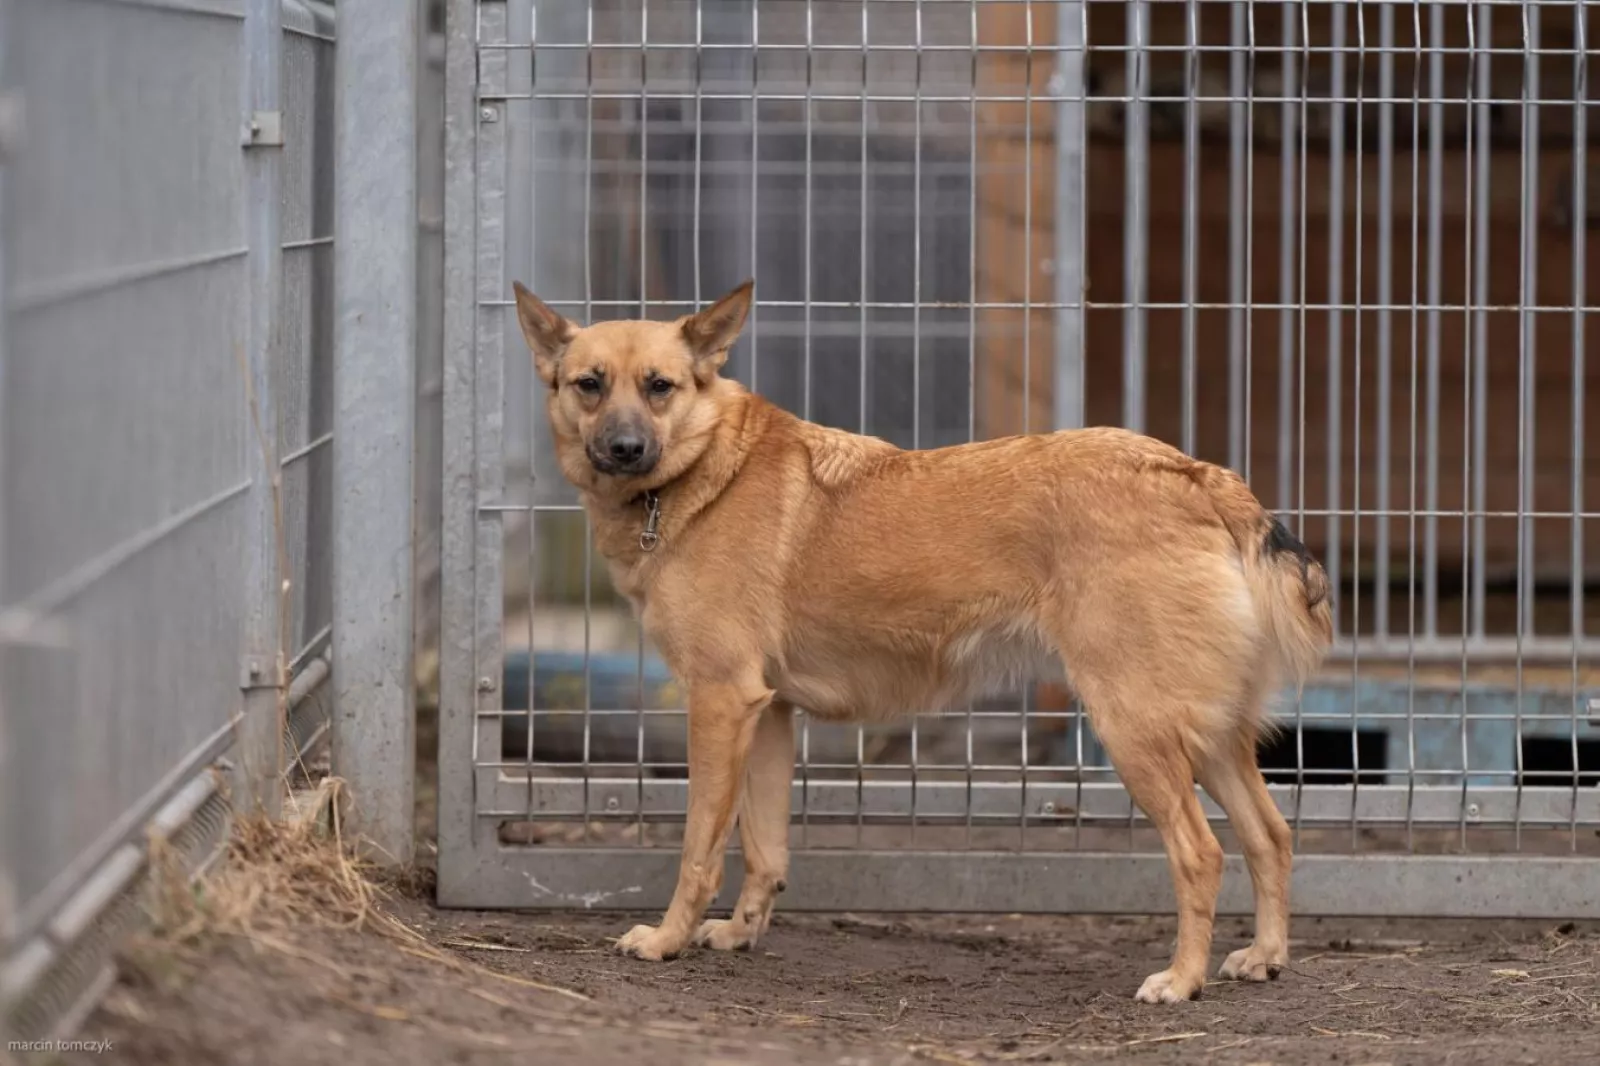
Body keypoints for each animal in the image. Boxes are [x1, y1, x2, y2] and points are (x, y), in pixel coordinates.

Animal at [510, 278, 1333, 1004]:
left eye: (660, 387)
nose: (625, 448)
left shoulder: (719, 703)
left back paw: (1182, 979)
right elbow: (765, 849)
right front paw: (741, 934)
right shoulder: (767, 713)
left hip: (1137, 729)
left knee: (1202, 853)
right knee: (1270, 836)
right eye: (589, 384)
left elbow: (699, 849)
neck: (706, 470)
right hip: (1209, 734)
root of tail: (1195, 474)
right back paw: (1264, 956)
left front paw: (668, 939)